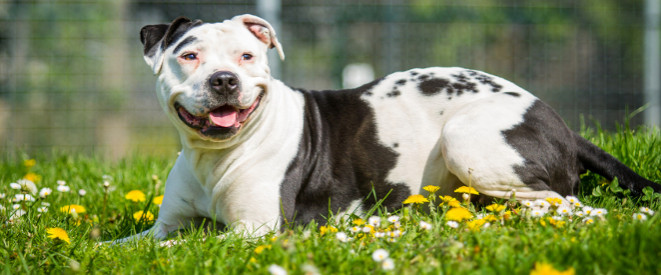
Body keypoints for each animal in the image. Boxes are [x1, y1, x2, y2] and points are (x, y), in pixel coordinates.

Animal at [114, 14, 660, 243]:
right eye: (189, 55)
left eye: (247, 56)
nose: (225, 80)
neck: (214, 157)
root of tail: (556, 119)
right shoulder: (163, 227)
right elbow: (128, 243)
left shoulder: (255, 231)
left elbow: (190, 244)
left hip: (468, 140)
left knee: (566, 205)